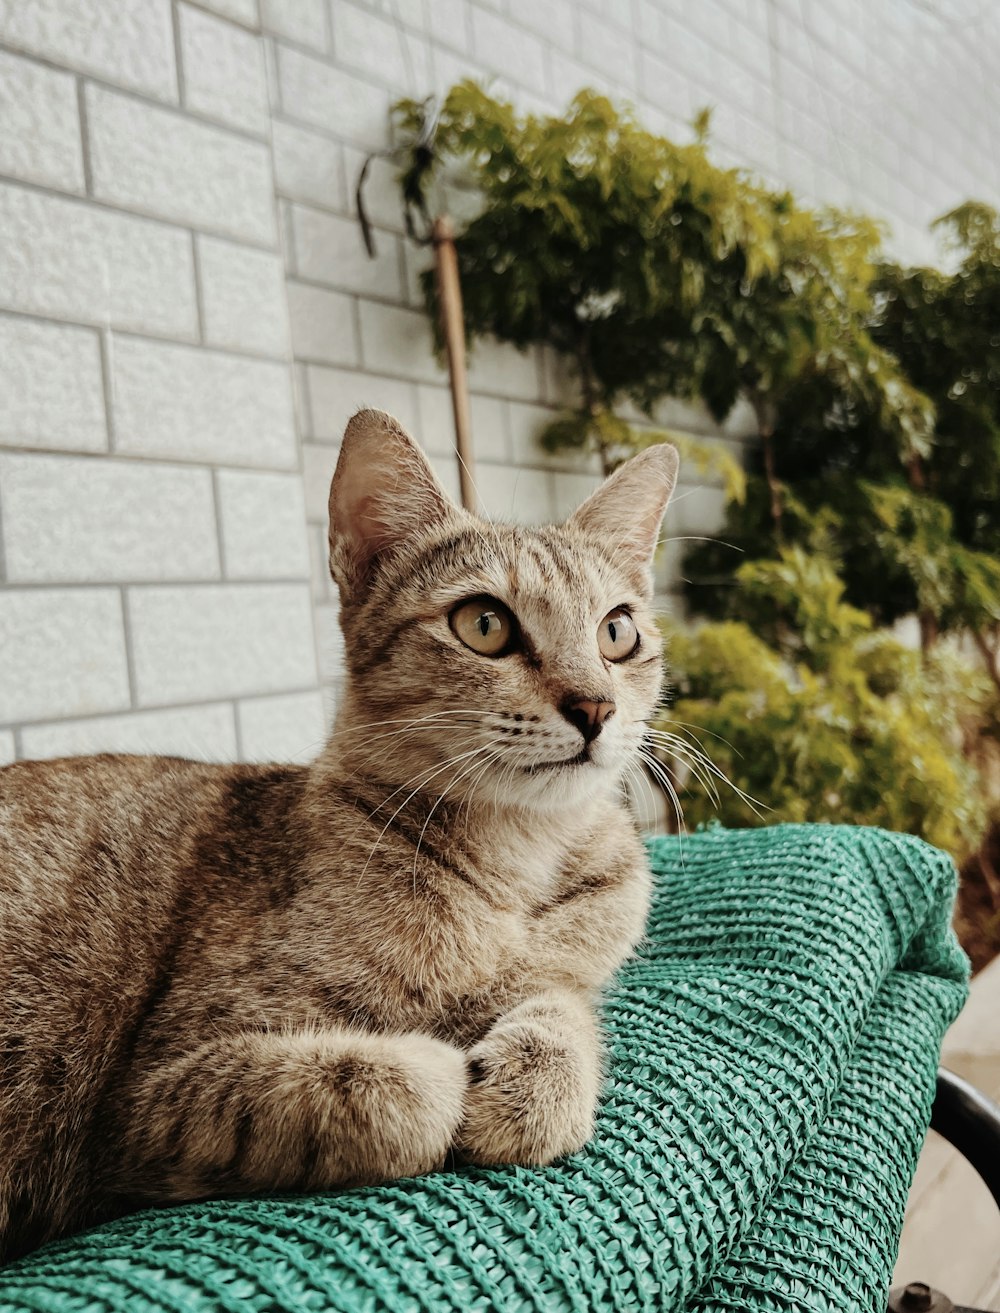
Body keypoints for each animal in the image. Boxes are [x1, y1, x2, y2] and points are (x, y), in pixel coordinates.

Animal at [0, 407, 677, 1260]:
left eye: (618, 632)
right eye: (484, 623)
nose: (595, 706)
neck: (514, 870)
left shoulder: (574, 962)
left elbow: (563, 1006)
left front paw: (536, 1075)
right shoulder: (155, 1087)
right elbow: (375, 1088)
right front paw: (436, 1070)